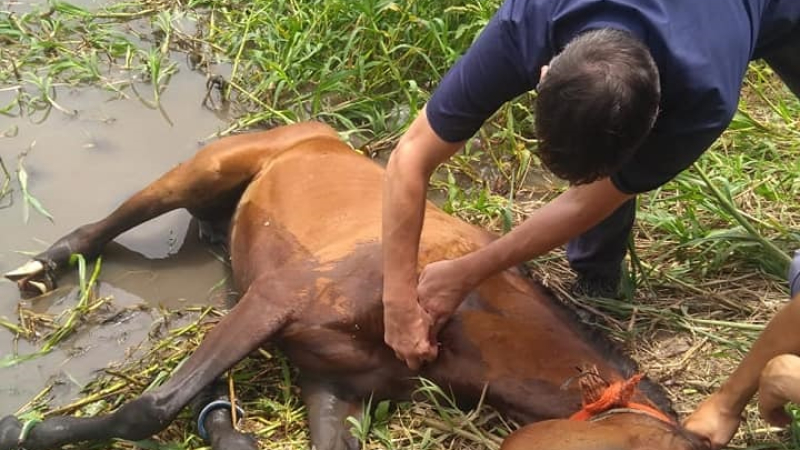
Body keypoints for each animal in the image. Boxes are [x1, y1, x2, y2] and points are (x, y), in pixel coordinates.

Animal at [0, 122, 706, 450]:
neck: (461, 318)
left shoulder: (332, 388)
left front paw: (226, 425)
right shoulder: (272, 301)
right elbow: (151, 408)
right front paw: (22, 430)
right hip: (201, 174)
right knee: (108, 223)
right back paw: (45, 266)